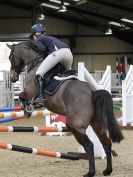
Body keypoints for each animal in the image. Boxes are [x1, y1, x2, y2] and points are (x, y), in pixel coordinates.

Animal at [7, 41, 123, 177]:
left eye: (10, 57)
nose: (13, 78)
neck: (35, 63)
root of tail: (91, 93)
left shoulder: (29, 92)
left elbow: (21, 96)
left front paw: (28, 110)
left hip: (76, 127)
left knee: (89, 146)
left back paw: (90, 172)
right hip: (96, 124)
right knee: (106, 143)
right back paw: (107, 170)